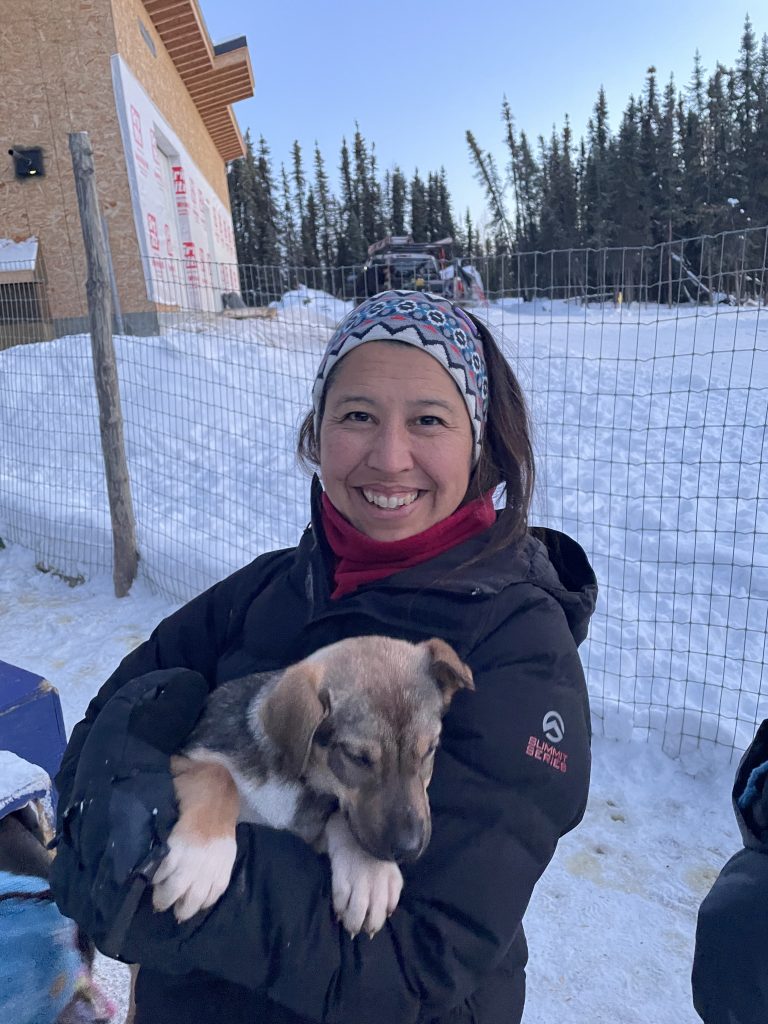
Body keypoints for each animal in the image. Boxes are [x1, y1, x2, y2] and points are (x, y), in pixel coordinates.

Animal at [151, 634, 475, 937]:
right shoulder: (181, 758)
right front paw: (200, 860)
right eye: (356, 757)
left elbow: (341, 817)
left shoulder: (310, 831)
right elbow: (219, 777)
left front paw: (370, 874)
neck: (295, 779)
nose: (409, 849)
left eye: (430, 750)